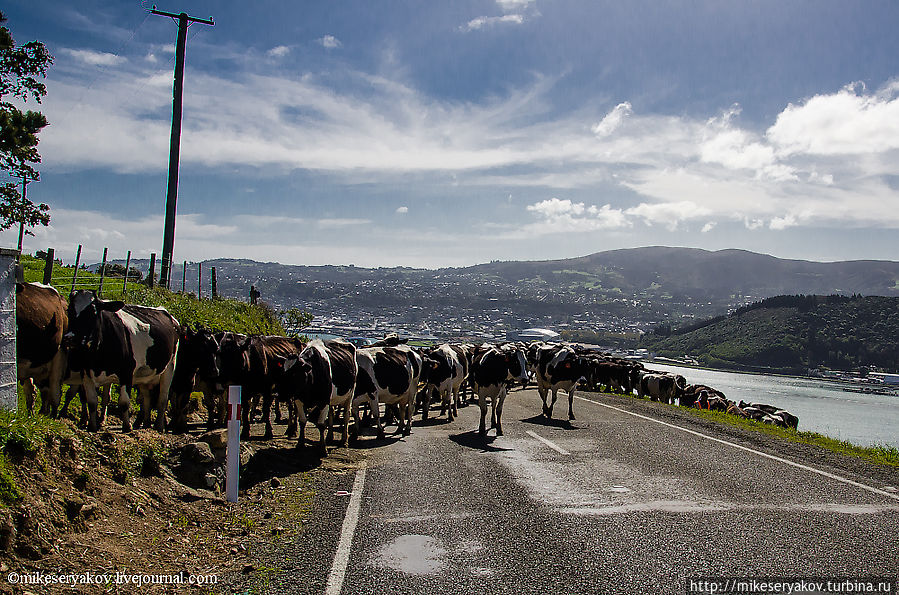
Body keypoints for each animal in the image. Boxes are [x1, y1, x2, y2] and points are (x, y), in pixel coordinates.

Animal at [63, 290, 181, 434]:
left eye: (93, 312)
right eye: (69, 310)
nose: (70, 338)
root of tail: (164, 311)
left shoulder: (127, 372)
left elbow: (124, 402)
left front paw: (126, 426)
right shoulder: (86, 373)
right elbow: (91, 401)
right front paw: (92, 426)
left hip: (170, 366)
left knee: (163, 398)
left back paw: (159, 426)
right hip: (144, 374)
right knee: (146, 396)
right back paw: (146, 423)